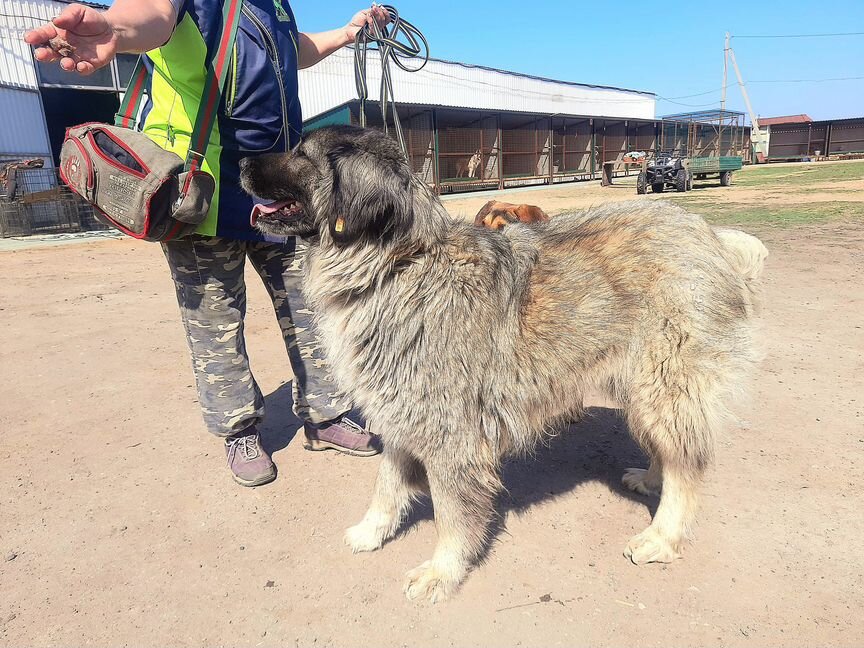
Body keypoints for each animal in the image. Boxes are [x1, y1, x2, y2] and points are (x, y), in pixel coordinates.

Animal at [240, 126, 768, 604]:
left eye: (300, 153)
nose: (239, 161)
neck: (395, 264)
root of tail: (713, 236)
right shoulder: (400, 413)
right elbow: (387, 485)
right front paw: (372, 531)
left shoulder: (449, 432)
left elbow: (451, 513)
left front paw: (442, 571)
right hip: (642, 387)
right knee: (669, 449)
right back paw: (651, 479)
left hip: (666, 384)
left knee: (687, 464)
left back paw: (662, 535)